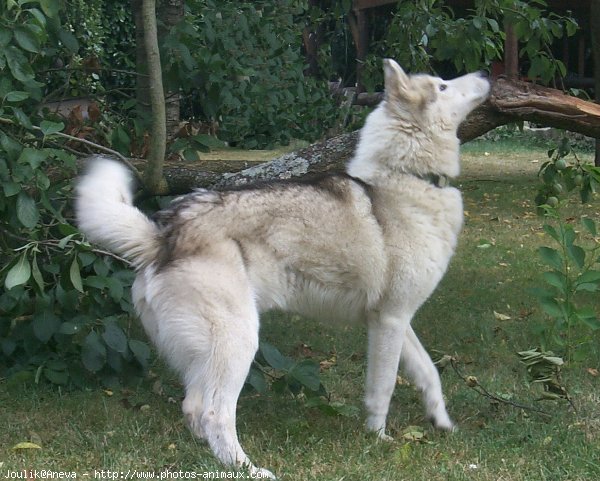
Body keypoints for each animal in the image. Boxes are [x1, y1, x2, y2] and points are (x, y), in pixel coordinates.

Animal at [76, 58, 488, 474]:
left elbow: (428, 373)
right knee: (213, 413)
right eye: (442, 86)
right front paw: (378, 439)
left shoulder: (394, 318)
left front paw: (441, 421)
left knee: (193, 408)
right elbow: (383, 389)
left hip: (209, 355)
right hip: (240, 341)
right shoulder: (390, 321)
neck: (406, 176)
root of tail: (164, 235)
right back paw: (247, 468)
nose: (486, 74)